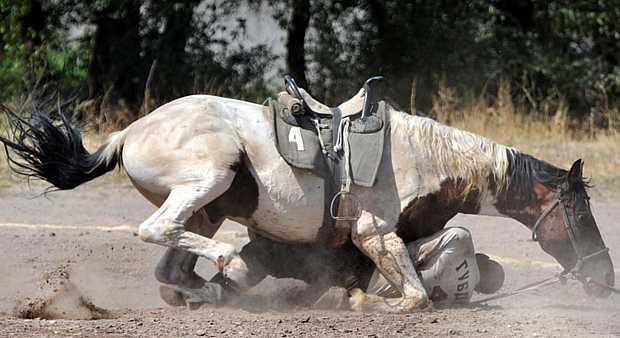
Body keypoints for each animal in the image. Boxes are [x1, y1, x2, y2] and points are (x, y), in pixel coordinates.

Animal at [0, 91, 612, 312]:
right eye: (581, 214)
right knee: (157, 231)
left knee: (168, 267)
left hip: (211, 206)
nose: (606, 276)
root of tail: (128, 133)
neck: (428, 160)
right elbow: (415, 297)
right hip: (211, 178)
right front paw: (368, 304)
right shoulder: (373, 231)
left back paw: (205, 287)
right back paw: (224, 262)